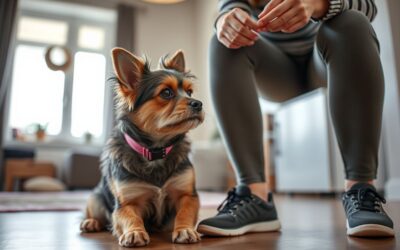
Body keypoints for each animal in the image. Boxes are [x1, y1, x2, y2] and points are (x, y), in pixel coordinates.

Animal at [79, 47, 205, 247]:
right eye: (166, 93)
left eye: (190, 92)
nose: (199, 103)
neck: (156, 151)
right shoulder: (126, 203)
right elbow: (130, 217)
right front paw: (134, 232)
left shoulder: (188, 195)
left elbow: (185, 212)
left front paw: (185, 229)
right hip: (95, 197)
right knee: (96, 214)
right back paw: (91, 222)